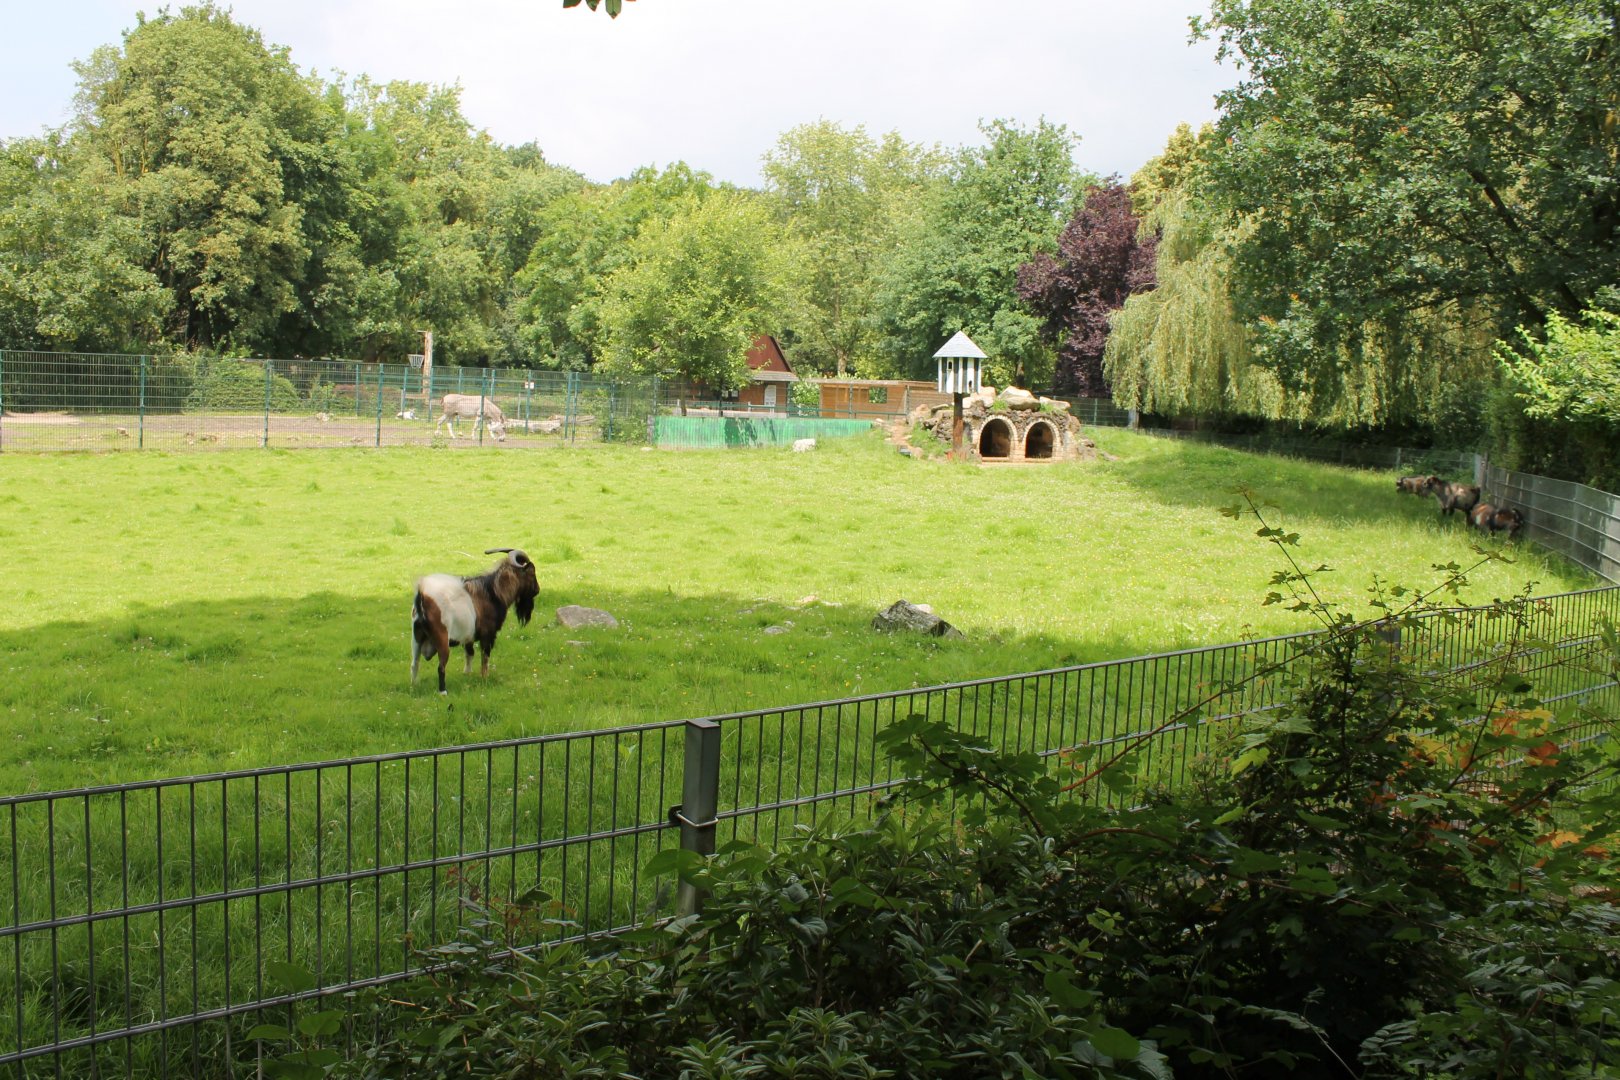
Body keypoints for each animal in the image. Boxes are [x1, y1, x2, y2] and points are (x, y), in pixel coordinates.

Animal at [411, 548, 539, 694]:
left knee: (414, 663)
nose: (537, 590)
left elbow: (469, 654)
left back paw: (414, 686)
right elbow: (485, 658)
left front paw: (467, 675)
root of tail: (422, 595)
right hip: (442, 639)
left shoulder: (468, 637)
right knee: (441, 667)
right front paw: (484, 678)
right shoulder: (487, 635)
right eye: (532, 572)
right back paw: (443, 692)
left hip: (416, 637)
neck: (493, 592)